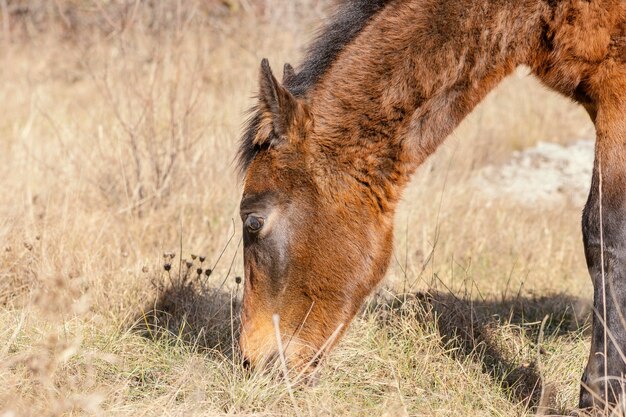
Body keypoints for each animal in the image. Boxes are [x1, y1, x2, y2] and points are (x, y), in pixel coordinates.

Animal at [236, 0, 620, 410]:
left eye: (254, 222)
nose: (249, 363)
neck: (535, 14)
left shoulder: (615, 95)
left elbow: (603, 232)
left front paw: (599, 396)